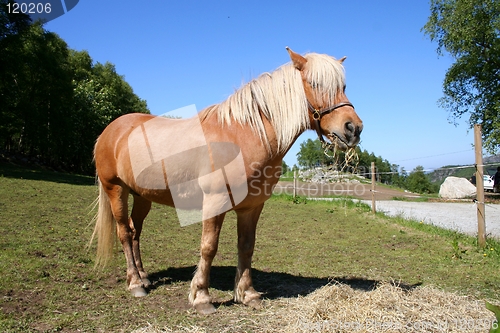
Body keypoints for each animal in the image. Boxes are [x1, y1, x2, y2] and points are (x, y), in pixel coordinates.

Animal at [91, 47, 364, 314]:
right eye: (314, 83)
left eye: (343, 86)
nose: (353, 128)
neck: (243, 135)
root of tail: (110, 130)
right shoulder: (215, 202)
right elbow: (209, 247)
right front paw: (202, 297)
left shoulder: (252, 207)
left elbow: (246, 246)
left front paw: (248, 294)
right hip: (115, 189)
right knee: (124, 232)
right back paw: (135, 283)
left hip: (142, 196)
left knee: (135, 231)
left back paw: (143, 276)